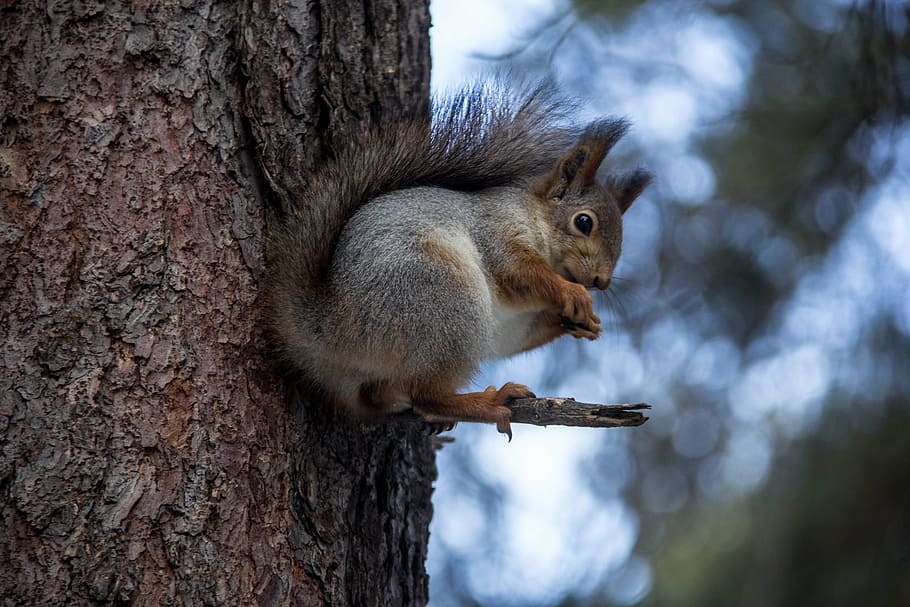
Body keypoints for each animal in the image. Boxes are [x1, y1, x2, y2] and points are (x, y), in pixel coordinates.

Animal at [266, 83, 651, 438]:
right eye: (583, 222)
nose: (600, 281)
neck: (533, 216)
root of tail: (329, 327)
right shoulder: (496, 230)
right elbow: (520, 270)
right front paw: (572, 295)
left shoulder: (512, 324)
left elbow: (517, 337)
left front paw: (583, 323)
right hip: (443, 295)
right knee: (428, 397)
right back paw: (488, 402)